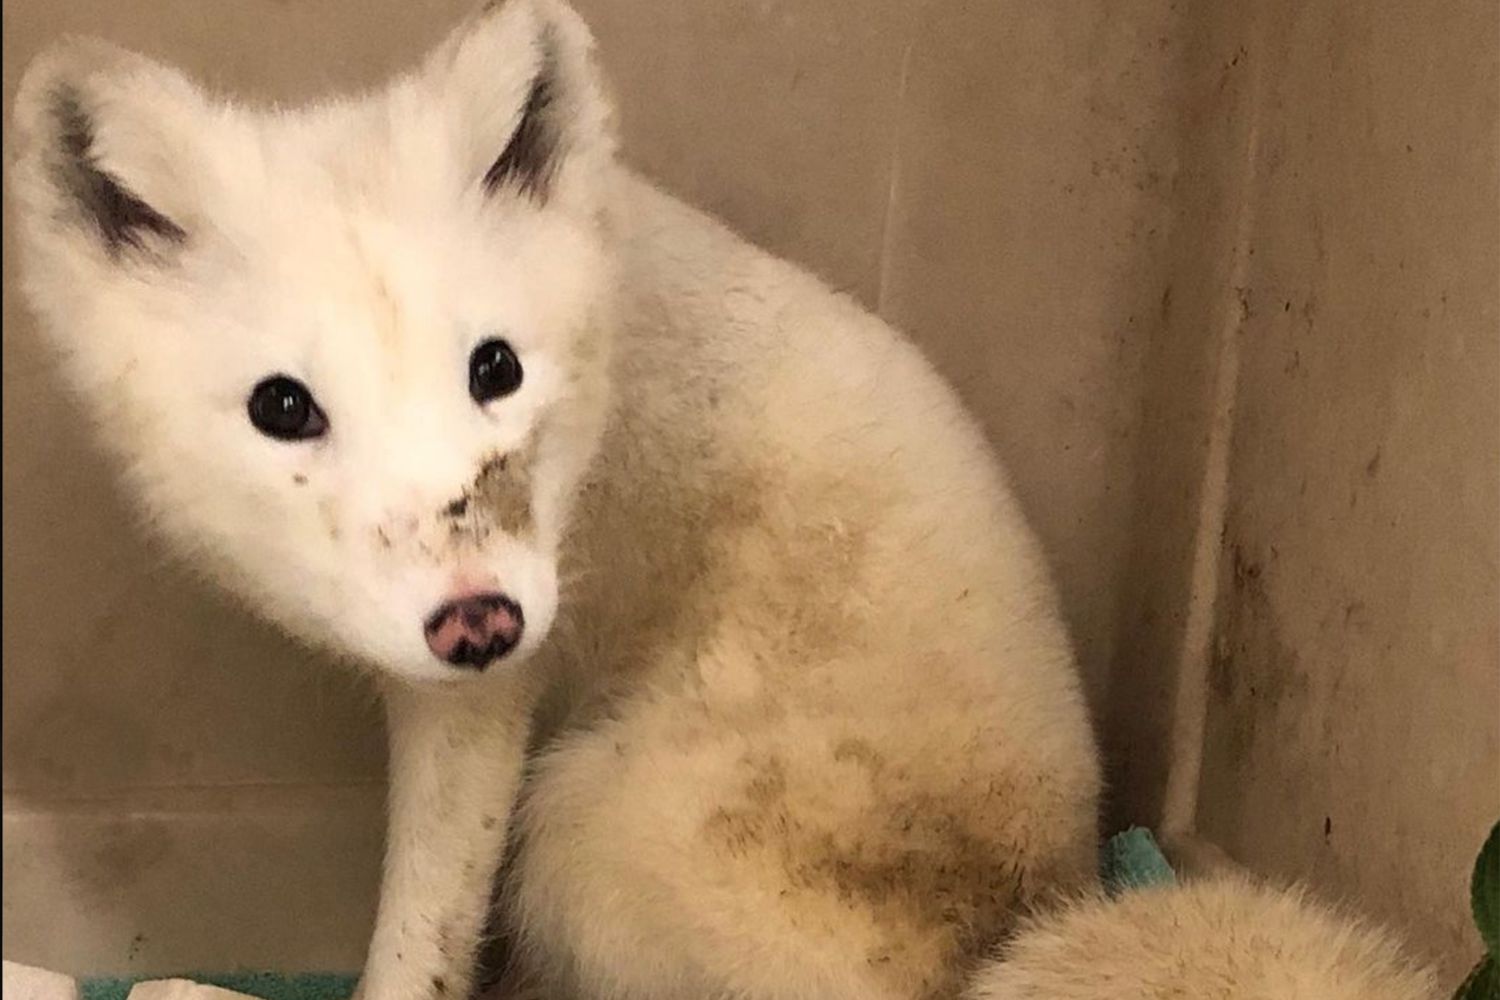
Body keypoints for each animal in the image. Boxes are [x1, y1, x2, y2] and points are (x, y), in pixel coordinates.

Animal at [8, 1, 1440, 1000]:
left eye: (496, 369)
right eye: (283, 407)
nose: (479, 620)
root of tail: (1045, 900)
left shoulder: (485, 714)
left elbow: (416, 935)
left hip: (578, 823)